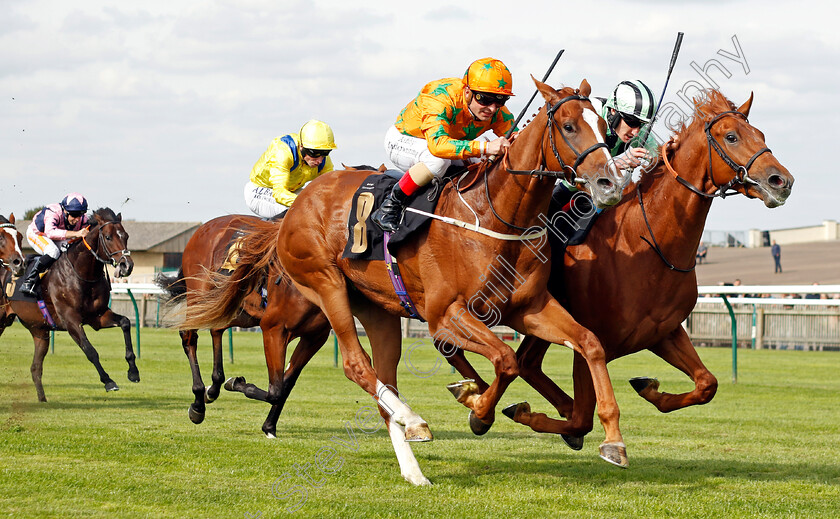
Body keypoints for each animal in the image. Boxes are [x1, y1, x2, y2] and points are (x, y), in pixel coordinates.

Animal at [0, 207, 136, 402]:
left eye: (126, 236)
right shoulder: (70, 320)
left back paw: (43, 400)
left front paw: (133, 371)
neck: (82, 274)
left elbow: (125, 322)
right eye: (108, 237)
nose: (127, 266)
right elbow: (90, 350)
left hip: (39, 330)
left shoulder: (98, 316)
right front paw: (109, 381)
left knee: (35, 368)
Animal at [158, 213, 332, 436]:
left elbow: (286, 383)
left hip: (235, 307)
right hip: (200, 295)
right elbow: (276, 389)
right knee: (189, 337)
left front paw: (269, 426)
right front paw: (236, 384)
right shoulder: (273, 328)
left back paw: (212, 388)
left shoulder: (315, 337)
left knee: (217, 328)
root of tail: (203, 228)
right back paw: (198, 403)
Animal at [452, 92, 796, 446]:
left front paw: (649, 388)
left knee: (527, 363)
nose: (782, 181)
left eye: (761, 135)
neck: (649, 243)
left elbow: (706, 384)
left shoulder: (663, 332)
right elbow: (582, 420)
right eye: (731, 137)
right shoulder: (594, 339)